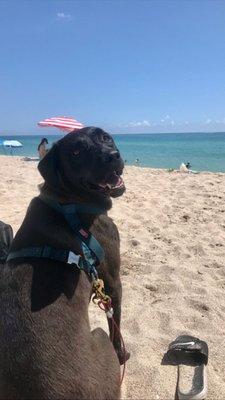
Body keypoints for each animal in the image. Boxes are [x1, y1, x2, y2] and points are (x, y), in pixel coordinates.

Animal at [0, 127, 129, 400]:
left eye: (105, 137)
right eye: (76, 152)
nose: (112, 156)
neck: (68, 202)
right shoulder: (113, 281)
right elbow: (116, 324)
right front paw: (123, 354)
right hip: (99, 338)